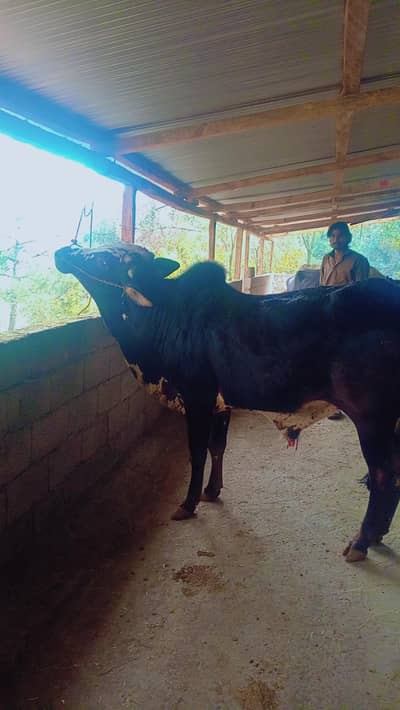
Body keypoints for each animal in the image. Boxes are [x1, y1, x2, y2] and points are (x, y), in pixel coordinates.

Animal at [55, 242, 400, 563]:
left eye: (105, 258)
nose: (66, 250)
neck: (163, 316)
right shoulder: (220, 405)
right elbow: (217, 447)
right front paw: (211, 491)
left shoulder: (197, 398)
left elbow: (196, 453)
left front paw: (188, 503)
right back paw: (377, 534)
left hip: (373, 419)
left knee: (383, 476)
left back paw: (360, 542)